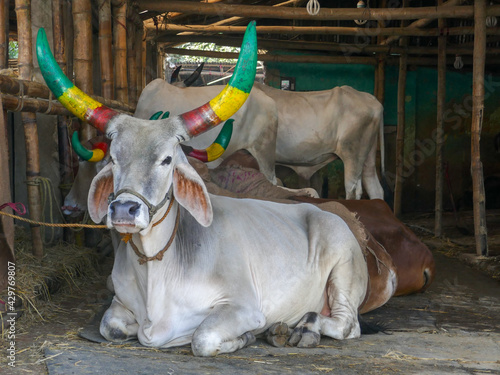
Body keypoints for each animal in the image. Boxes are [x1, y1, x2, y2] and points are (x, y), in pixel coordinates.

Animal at [37, 24, 376, 358]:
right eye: (114, 158)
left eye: (167, 159)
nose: (124, 210)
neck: (157, 269)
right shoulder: (119, 305)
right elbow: (112, 328)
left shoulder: (242, 307)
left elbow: (202, 338)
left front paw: (247, 336)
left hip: (344, 271)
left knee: (347, 325)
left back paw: (303, 328)